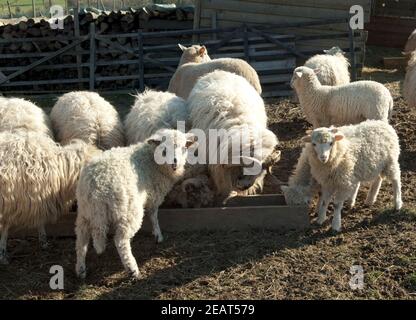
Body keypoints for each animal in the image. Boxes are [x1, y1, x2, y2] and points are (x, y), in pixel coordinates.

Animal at [0, 131, 100, 264]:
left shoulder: (36, 198)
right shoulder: (10, 201)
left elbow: (39, 221)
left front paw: (43, 241)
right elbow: (5, 229)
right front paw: (3, 254)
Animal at [75, 129, 197, 278]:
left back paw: (81, 269)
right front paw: (158, 235)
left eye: (184, 148)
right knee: (120, 240)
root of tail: (97, 184)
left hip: (85, 211)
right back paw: (132, 268)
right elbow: (153, 215)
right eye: (164, 149)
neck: (151, 159)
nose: (175, 163)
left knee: (81, 239)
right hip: (128, 210)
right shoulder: (154, 195)